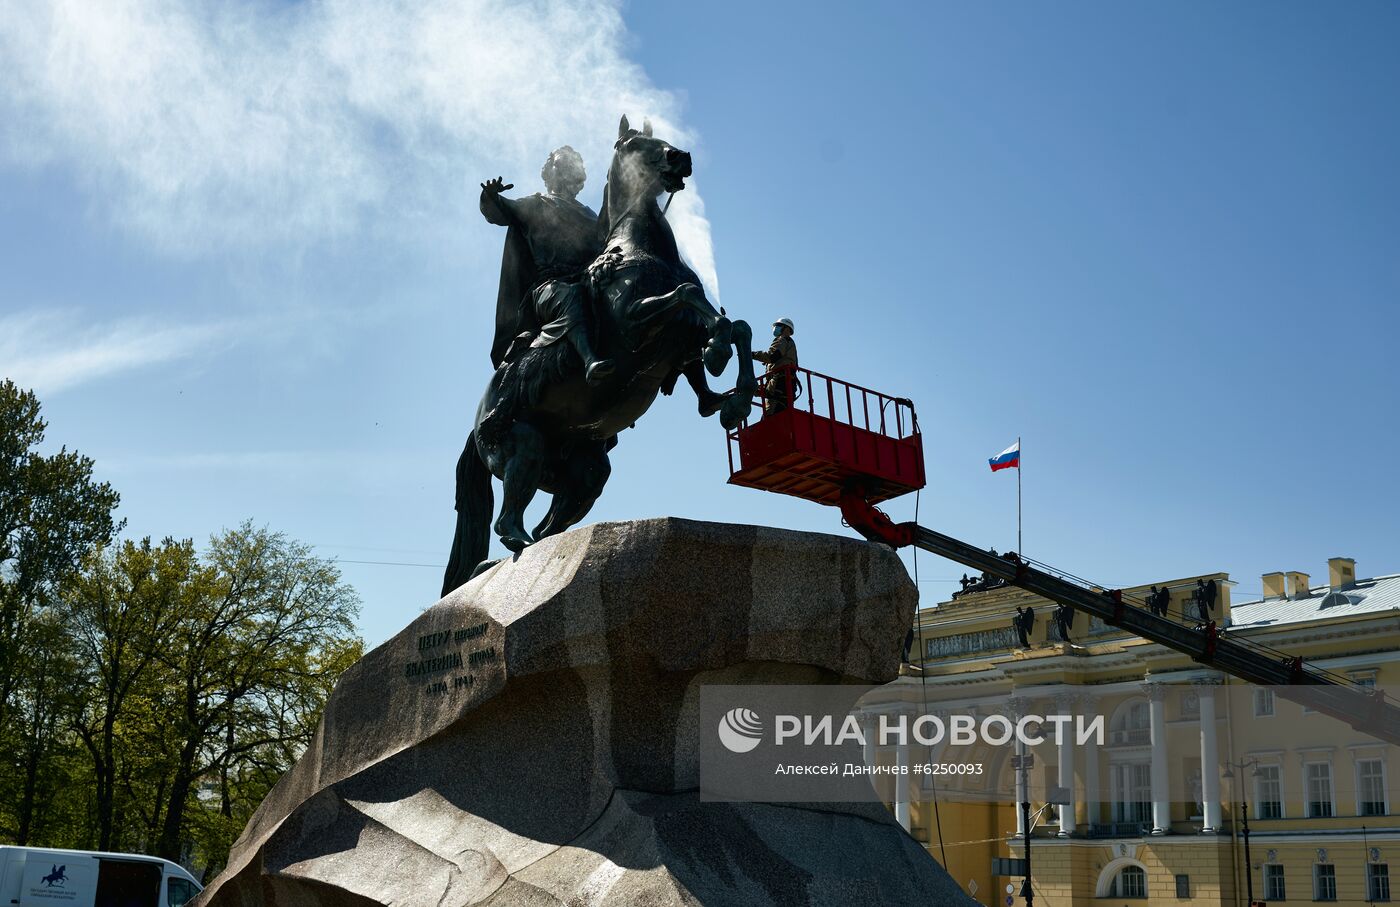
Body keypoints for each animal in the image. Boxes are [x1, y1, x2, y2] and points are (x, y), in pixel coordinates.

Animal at [445, 115, 756, 596]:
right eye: (635, 144)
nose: (679, 157)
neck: (640, 246)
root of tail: (477, 421)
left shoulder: (680, 337)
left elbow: (734, 325)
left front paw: (732, 397)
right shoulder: (633, 322)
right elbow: (687, 296)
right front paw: (719, 358)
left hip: (585, 474)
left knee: (548, 527)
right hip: (523, 445)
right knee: (508, 520)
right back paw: (508, 552)